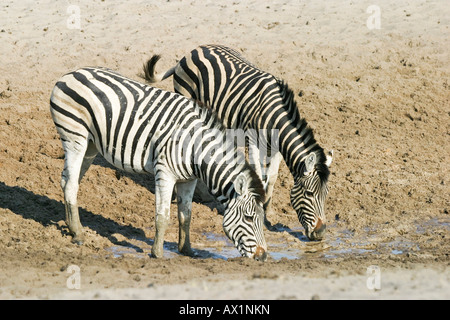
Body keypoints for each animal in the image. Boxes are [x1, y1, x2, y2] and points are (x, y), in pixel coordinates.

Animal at [49, 65, 268, 260]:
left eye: (261, 219)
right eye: (249, 217)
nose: (263, 256)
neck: (196, 148)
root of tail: (72, 73)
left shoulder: (188, 180)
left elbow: (186, 214)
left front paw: (187, 250)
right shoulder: (165, 173)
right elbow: (162, 216)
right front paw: (158, 253)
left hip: (91, 145)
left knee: (68, 180)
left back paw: (72, 227)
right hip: (74, 137)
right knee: (71, 184)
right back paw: (78, 235)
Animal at [144, 44, 334, 240]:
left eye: (326, 194)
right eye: (309, 193)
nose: (320, 233)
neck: (274, 115)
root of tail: (192, 51)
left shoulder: (277, 149)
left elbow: (272, 178)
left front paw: (269, 210)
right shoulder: (253, 142)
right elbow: (259, 176)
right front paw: (261, 209)